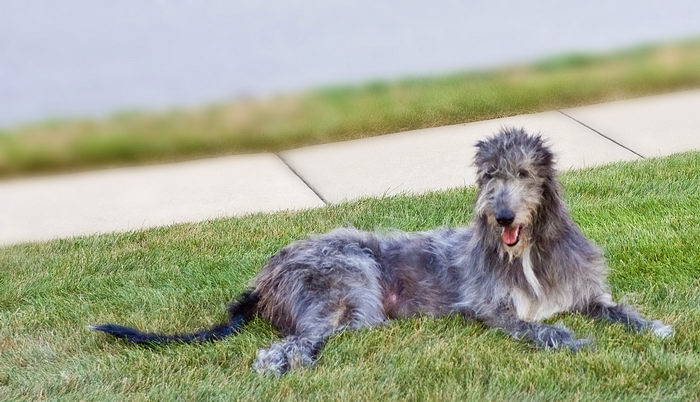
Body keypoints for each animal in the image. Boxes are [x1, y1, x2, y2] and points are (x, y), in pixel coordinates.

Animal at [90, 127, 668, 376]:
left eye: (524, 173)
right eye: (488, 177)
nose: (502, 216)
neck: (525, 252)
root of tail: (263, 275)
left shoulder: (584, 292)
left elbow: (617, 308)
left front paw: (654, 327)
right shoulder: (492, 309)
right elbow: (539, 327)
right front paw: (573, 341)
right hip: (346, 288)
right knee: (289, 343)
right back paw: (282, 365)